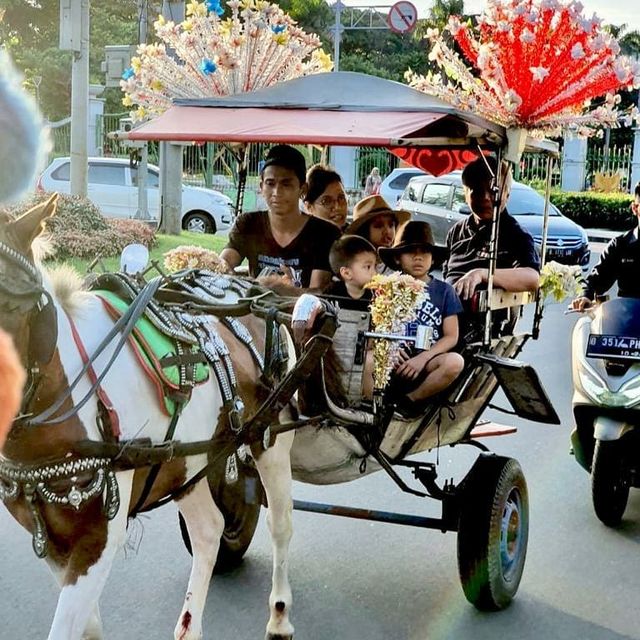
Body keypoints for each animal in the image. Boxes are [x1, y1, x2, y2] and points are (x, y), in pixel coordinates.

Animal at [0, 198, 300, 636]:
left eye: (12, 307)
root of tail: (259, 292)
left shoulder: (98, 538)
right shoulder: (53, 542)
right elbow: (87, 627)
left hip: (270, 438)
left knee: (281, 524)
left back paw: (279, 615)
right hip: (185, 463)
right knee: (209, 529)